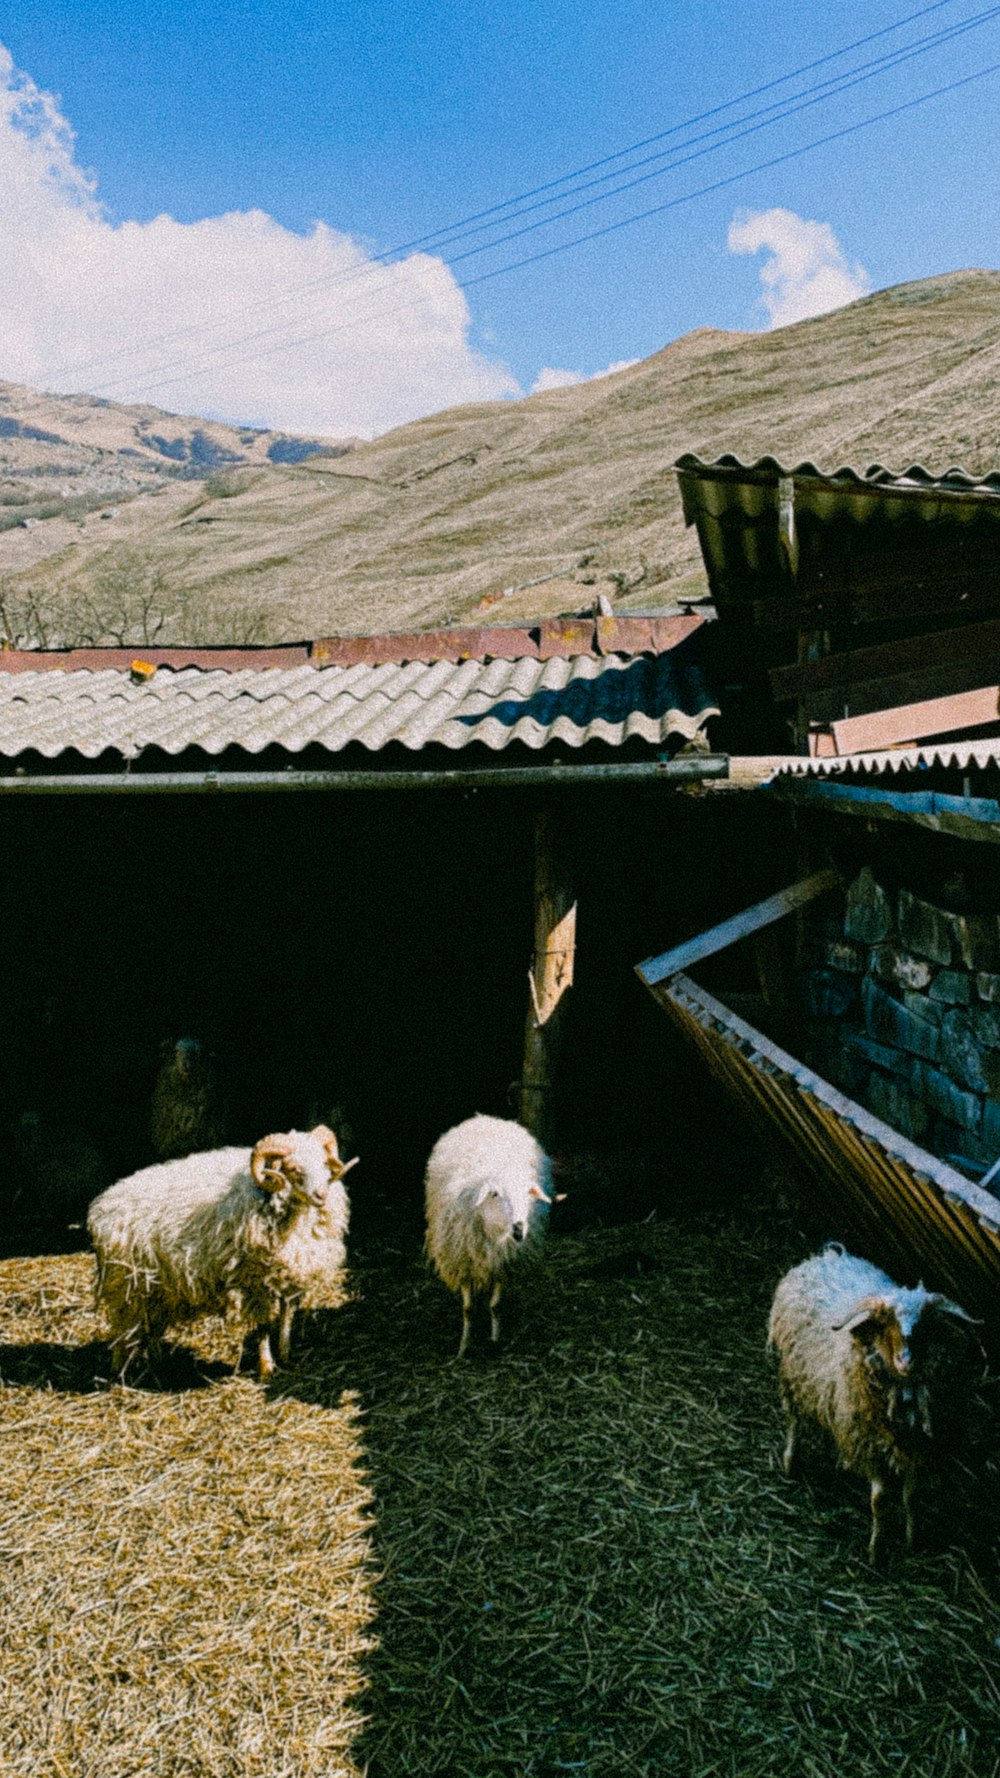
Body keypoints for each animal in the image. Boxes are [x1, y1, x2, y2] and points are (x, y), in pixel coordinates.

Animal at [87, 1116, 355, 1379]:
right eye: (292, 1169)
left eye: (323, 1163)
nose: (321, 1195)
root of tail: (99, 1207)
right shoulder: (254, 1284)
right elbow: (263, 1326)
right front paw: (266, 1368)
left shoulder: (291, 1277)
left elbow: (286, 1320)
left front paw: (287, 1356)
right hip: (127, 1287)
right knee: (123, 1332)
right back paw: (120, 1375)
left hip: (155, 1292)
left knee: (148, 1329)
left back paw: (156, 1366)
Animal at [419, 1109, 551, 1358]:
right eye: (495, 1194)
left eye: (526, 1193)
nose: (519, 1229)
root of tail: (485, 1118)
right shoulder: (462, 1260)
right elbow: (468, 1309)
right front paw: (463, 1348)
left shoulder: (502, 1262)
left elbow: (495, 1306)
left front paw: (495, 1340)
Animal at [761, 1244, 982, 1564]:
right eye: (885, 1322)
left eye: (925, 1325)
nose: (906, 1360)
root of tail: (830, 1255)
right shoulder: (869, 1443)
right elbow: (880, 1500)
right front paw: (877, 1550)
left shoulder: (916, 1446)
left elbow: (912, 1497)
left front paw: (912, 1540)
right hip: (793, 1375)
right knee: (794, 1420)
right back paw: (791, 1460)